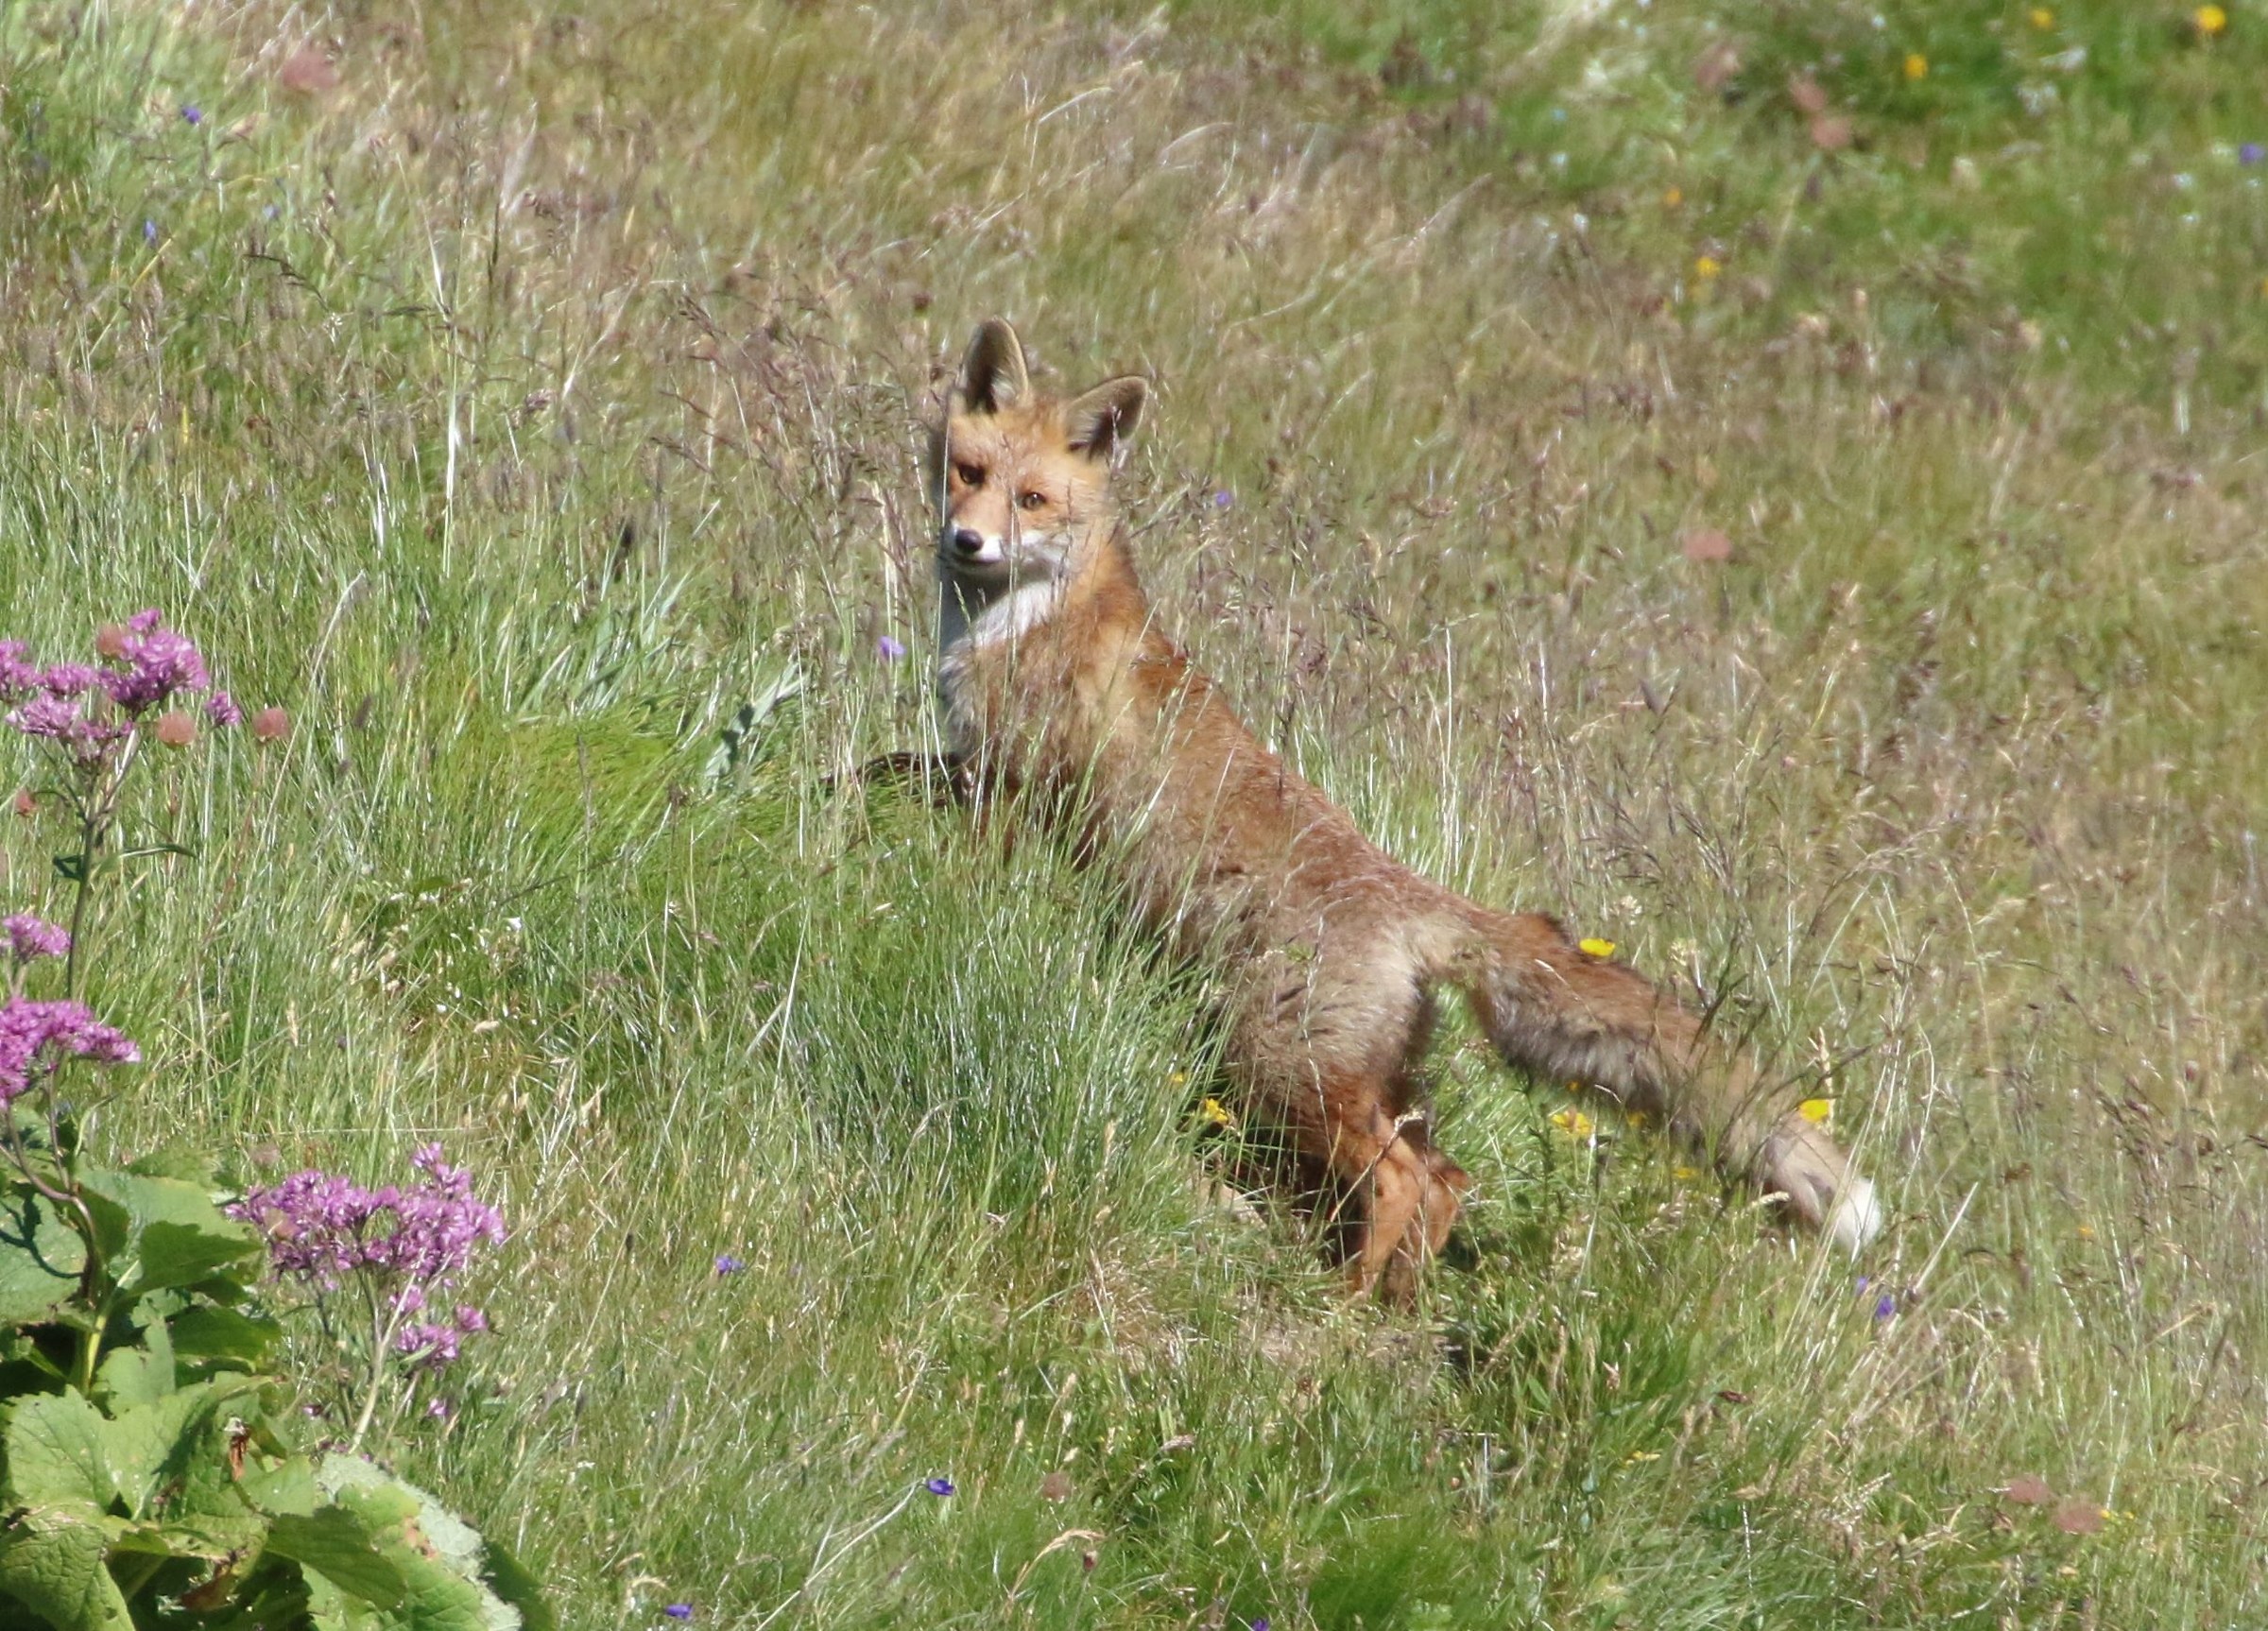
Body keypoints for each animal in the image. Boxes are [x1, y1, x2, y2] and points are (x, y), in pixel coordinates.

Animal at [921, 317, 1881, 1302]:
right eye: (968, 472)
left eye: (1033, 500)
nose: (967, 543)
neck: (1027, 615)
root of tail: (1415, 899)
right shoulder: (979, 767)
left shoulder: (1008, 779)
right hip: (1358, 1078)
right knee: (1448, 1178)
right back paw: (1394, 1302)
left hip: (1284, 1066)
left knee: (1403, 1178)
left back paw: (1347, 1301)